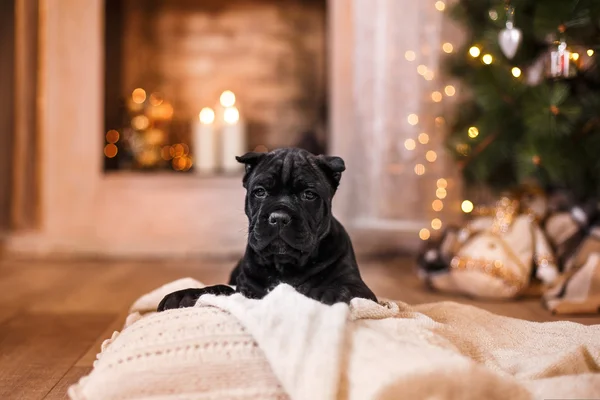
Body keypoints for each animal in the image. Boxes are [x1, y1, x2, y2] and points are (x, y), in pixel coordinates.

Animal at [157, 147, 378, 310]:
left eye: (309, 194)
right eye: (260, 192)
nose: (279, 218)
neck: (284, 265)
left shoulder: (362, 290)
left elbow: (344, 288)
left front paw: (325, 293)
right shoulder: (246, 290)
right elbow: (218, 288)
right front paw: (184, 295)